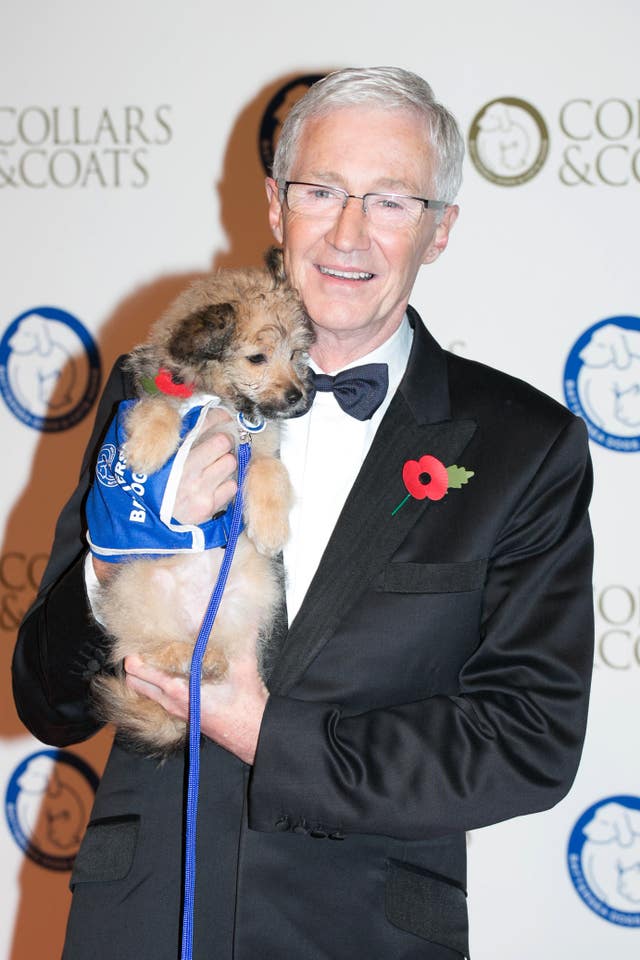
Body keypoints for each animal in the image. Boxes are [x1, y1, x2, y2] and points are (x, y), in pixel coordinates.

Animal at [90, 249, 316, 756]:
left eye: (296, 354)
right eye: (257, 358)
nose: (299, 397)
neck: (224, 402)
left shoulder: (259, 447)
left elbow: (271, 472)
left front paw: (270, 525)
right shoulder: (155, 396)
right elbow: (156, 408)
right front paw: (147, 450)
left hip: (252, 590)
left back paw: (207, 664)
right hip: (134, 588)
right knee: (139, 649)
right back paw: (186, 657)